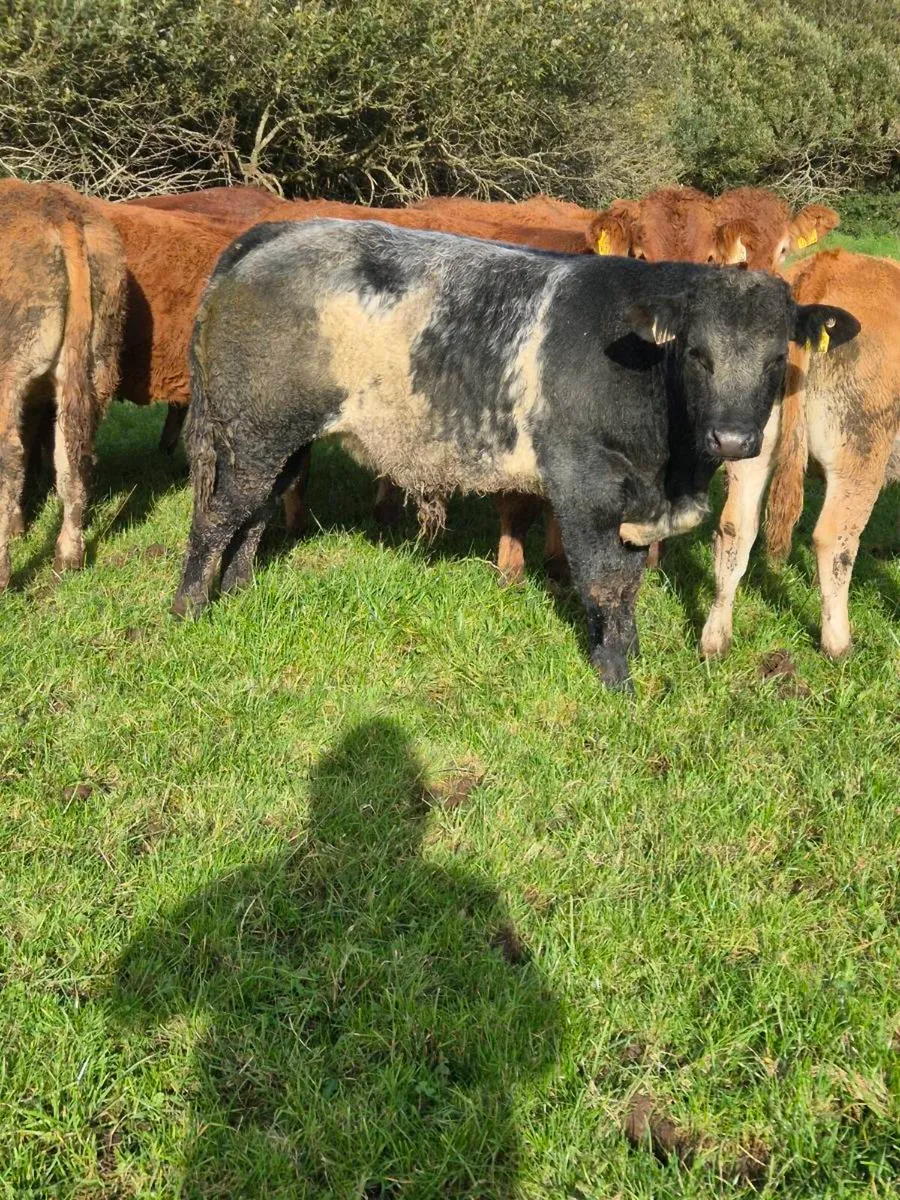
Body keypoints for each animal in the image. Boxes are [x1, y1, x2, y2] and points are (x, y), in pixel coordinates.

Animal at [0, 179, 126, 589]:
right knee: (73, 454)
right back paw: (68, 558)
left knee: (10, 457)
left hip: (9, 374)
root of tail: (57, 209)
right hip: (96, 367)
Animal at [172, 218, 856, 689]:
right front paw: (615, 676)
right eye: (697, 353)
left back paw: (237, 592)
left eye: (776, 357)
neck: (672, 470)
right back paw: (188, 609)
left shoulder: (638, 501)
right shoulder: (585, 484)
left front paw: (630, 651)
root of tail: (278, 230)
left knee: (255, 512)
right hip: (255, 432)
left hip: (277, 440)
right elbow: (604, 581)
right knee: (217, 517)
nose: (735, 440)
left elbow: (631, 581)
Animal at [701, 249, 899, 661]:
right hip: (861, 454)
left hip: (746, 446)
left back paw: (715, 639)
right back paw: (839, 645)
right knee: (834, 538)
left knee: (735, 530)